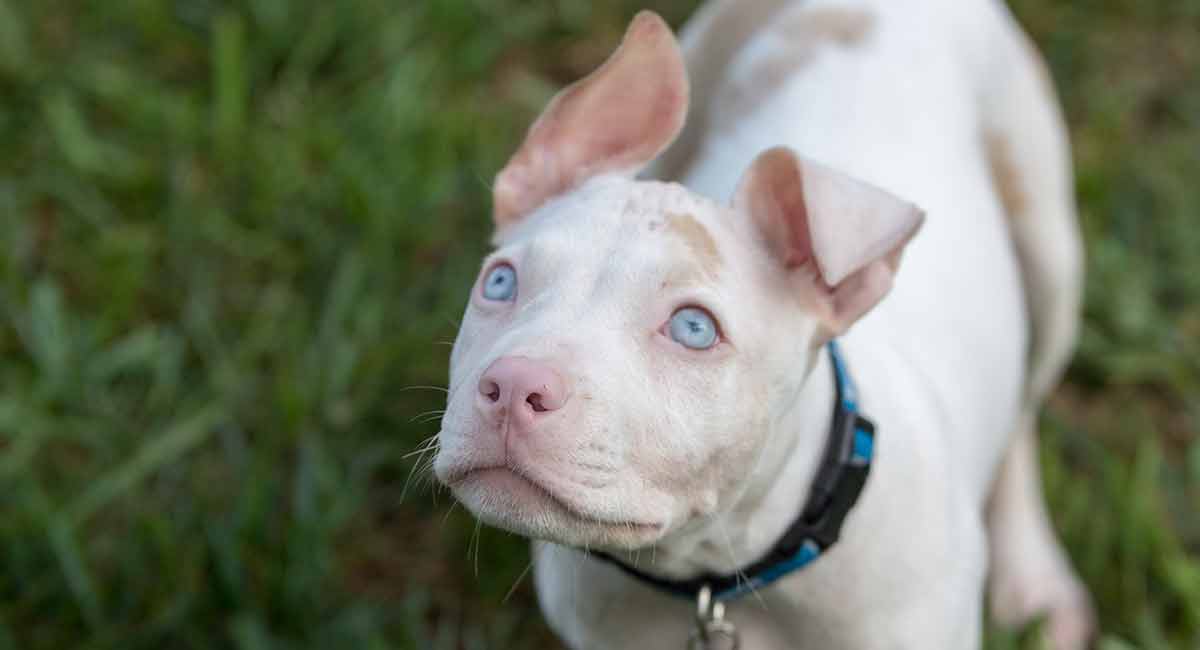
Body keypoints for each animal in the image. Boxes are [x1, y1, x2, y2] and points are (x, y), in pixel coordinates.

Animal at [434, 1, 1099, 647]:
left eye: (694, 329)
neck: (716, 576)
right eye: (500, 282)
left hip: (1050, 251)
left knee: (1024, 409)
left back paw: (1034, 576)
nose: (513, 387)